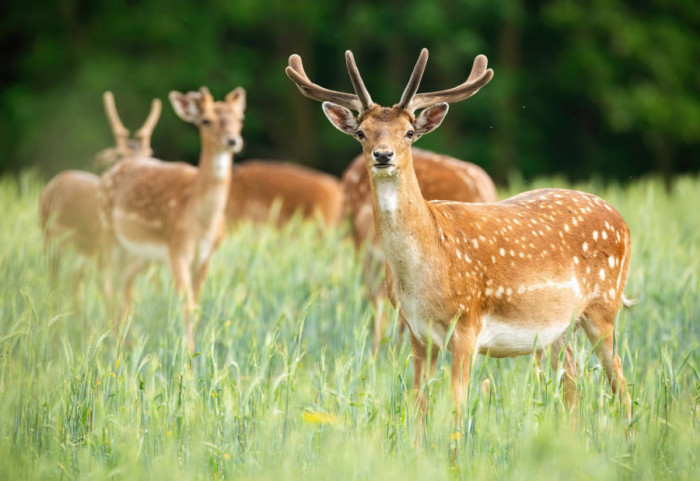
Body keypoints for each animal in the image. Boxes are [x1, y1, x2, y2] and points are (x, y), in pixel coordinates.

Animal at [99, 86, 246, 350]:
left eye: (239, 119)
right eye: (206, 120)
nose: (232, 140)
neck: (201, 221)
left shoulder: (206, 256)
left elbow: (196, 306)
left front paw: (198, 352)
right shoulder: (178, 249)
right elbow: (186, 306)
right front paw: (189, 356)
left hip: (140, 254)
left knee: (124, 283)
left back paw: (126, 342)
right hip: (108, 234)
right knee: (107, 283)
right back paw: (113, 342)